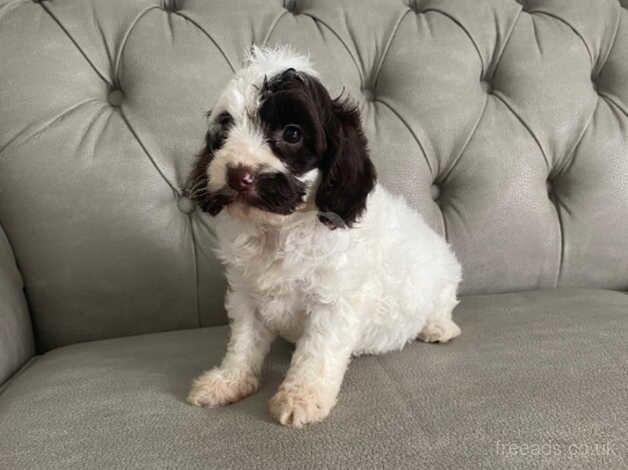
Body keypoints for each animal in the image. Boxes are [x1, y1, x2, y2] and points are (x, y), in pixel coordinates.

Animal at [186, 46, 462, 428]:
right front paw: (229, 381)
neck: (280, 229)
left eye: (292, 134)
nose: (238, 174)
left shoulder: (334, 301)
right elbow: (242, 344)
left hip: (443, 279)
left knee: (443, 306)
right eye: (225, 128)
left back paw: (438, 328)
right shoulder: (246, 296)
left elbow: (316, 353)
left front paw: (301, 397)